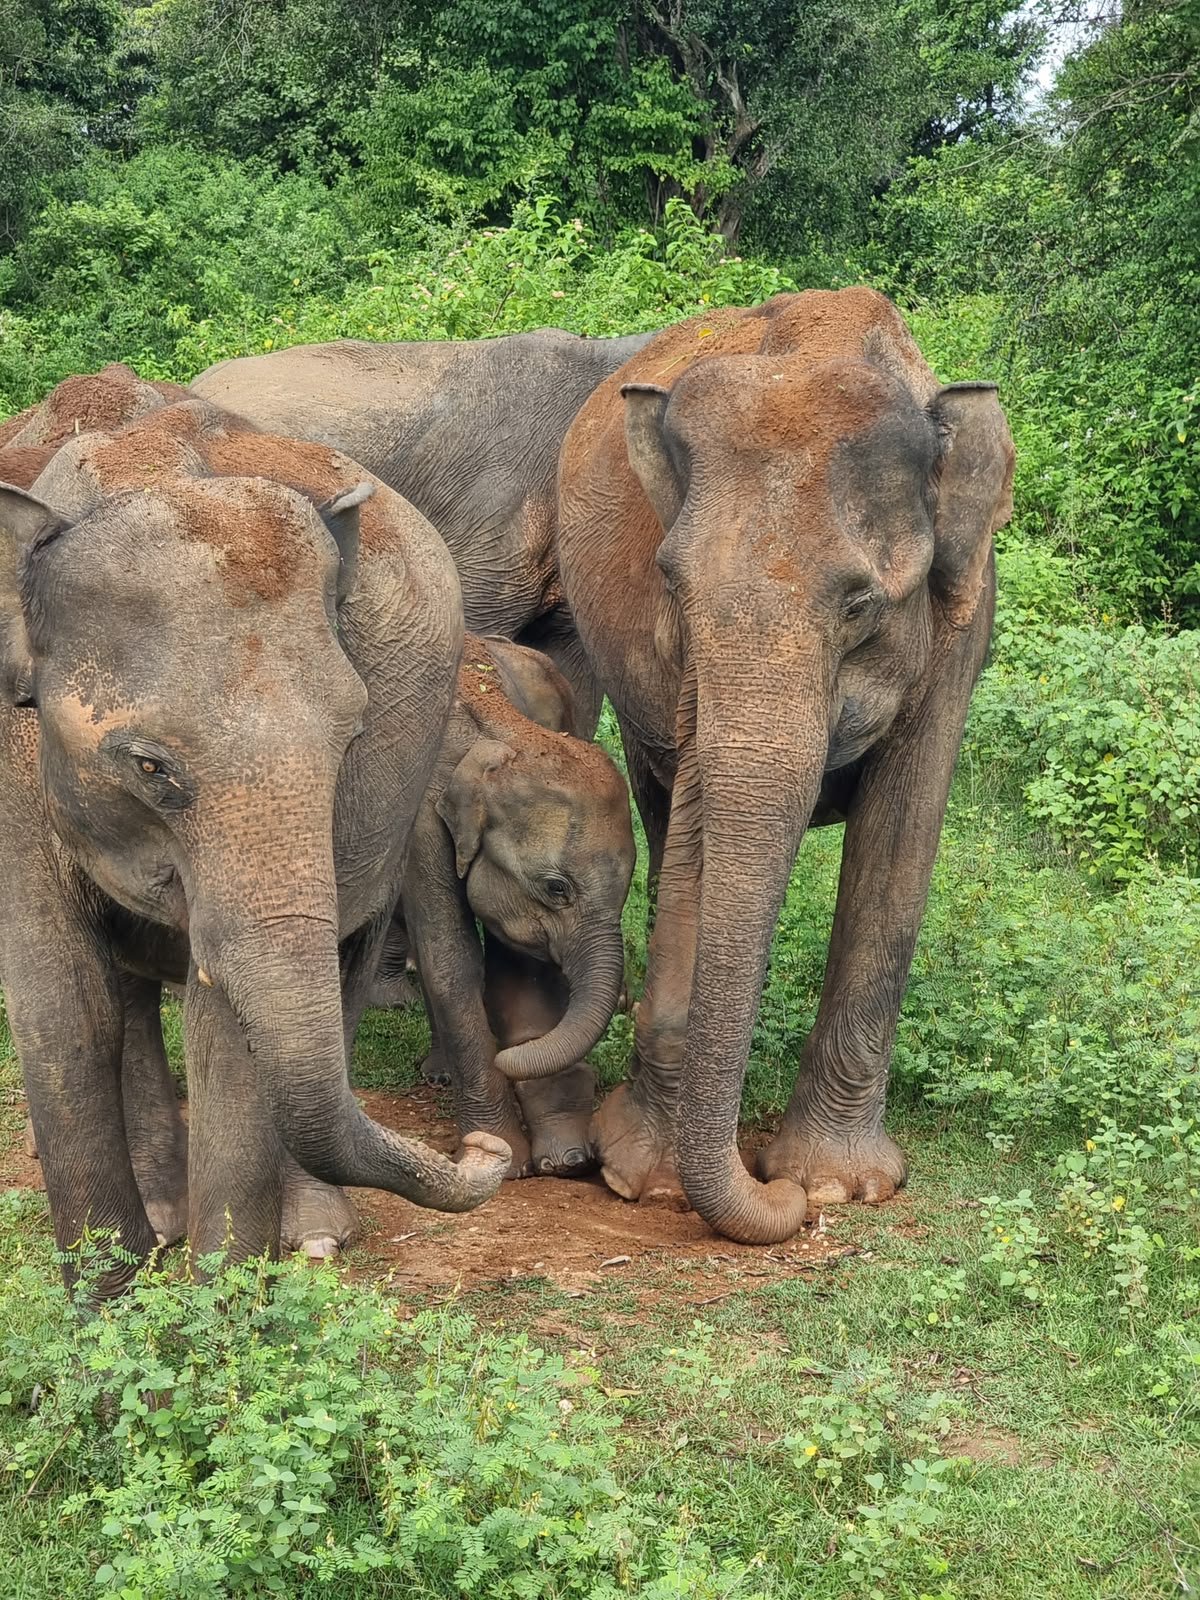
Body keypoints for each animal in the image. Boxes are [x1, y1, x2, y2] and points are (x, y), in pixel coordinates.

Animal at [0, 394, 513, 1296]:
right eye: (149, 766)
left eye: (350, 738)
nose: (489, 1150)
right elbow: (64, 1004)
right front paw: (113, 1308)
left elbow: (226, 1026)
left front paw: (218, 1309)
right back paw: (168, 1216)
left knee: (347, 955)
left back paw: (310, 1234)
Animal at [542, 286, 1014, 1244]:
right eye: (673, 585)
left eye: (862, 603)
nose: (779, 1202)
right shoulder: (680, 660)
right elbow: (695, 816)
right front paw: (647, 1184)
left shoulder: (960, 622)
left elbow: (901, 838)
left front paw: (836, 1187)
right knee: (658, 810)